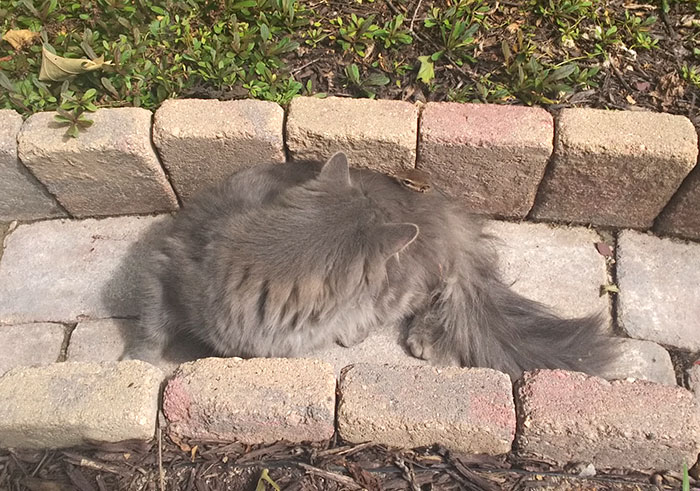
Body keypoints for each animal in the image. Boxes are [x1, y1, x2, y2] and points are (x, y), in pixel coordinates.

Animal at [124, 152, 612, 378]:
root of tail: (441, 211)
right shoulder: (165, 262)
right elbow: (150, 328)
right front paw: (136, 363)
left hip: (400, 287)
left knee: (428, 298)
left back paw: (415, 337)